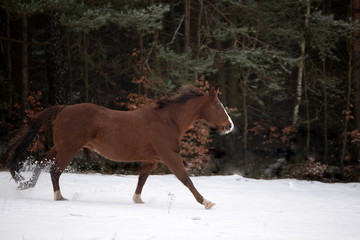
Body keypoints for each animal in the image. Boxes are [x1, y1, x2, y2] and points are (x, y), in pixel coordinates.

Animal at [8, 86, 235, 208]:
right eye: (217, 106)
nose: (229, 126)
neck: (167, 121)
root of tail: (64, 109)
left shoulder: (151, 160)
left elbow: (141, 180)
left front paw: (138, 200)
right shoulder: (170, 156)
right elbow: (185, 179)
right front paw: (206, 202)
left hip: (62, 146)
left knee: (41, 160)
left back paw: (26, 185)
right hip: (69, 148)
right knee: (54, 170)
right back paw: (59, 197)